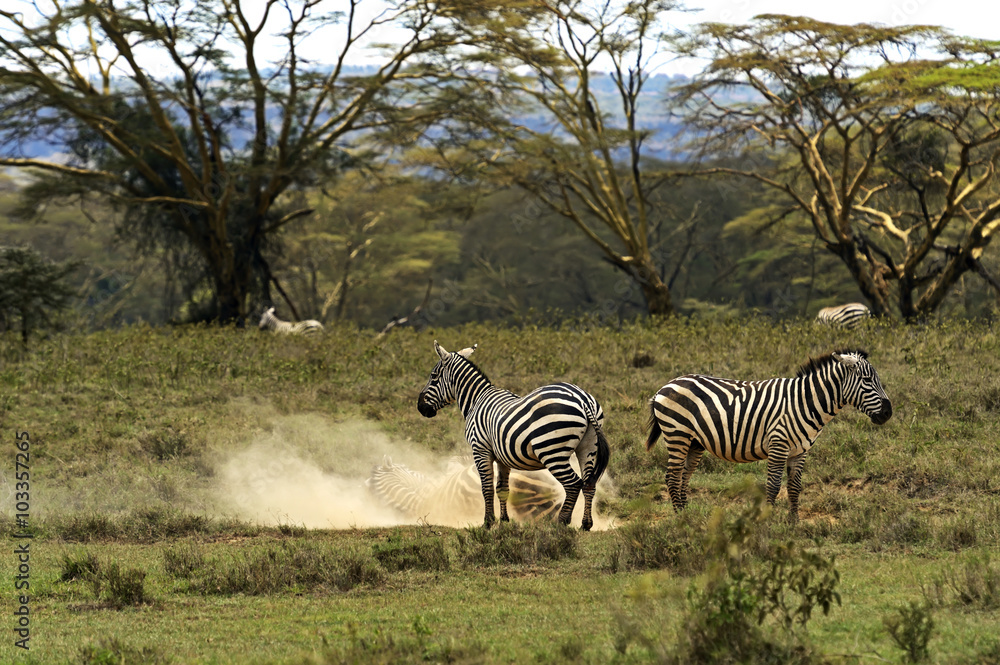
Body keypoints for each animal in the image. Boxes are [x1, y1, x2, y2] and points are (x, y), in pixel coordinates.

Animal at [416, 341, 611, 530]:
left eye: (433, 376)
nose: (420, 407)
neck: (476, 400)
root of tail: (582, 399)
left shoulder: (480, 449)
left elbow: (486, 488)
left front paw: (488, 523)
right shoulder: (502, 457)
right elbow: (502, 488)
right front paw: (504, 521)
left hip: (552, 450)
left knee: (573, 484)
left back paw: (561, 523)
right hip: (588, 446)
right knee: (589, 483)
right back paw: (586, 524)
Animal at [646, 349, 892, 521]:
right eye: (867, 380)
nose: (888, 412)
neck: (805, 402)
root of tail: (665, 386)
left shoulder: (800, 450)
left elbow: (794, 487)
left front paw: (794, 522)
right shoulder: (778, 444)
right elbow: (773, 485)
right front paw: (768, 522)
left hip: (694, 442)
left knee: (683, 477)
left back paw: (687, 515)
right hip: (677, 433)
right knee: (672, 476)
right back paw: (681, 519)